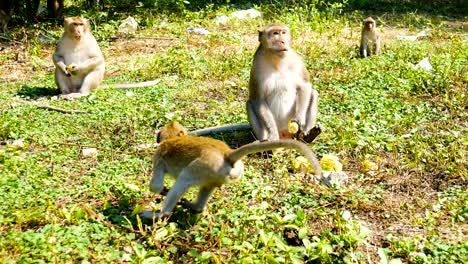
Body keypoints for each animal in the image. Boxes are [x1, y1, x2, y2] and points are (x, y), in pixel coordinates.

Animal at [139, 120, 322, 220]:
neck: (171, 139)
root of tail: (227, 154)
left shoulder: (158, 157)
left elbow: (155, 186)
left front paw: (162, 190)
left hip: (203, 166)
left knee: (184, 177)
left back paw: (160, 214)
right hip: (218, 172)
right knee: (207, 186)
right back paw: (195, 207)